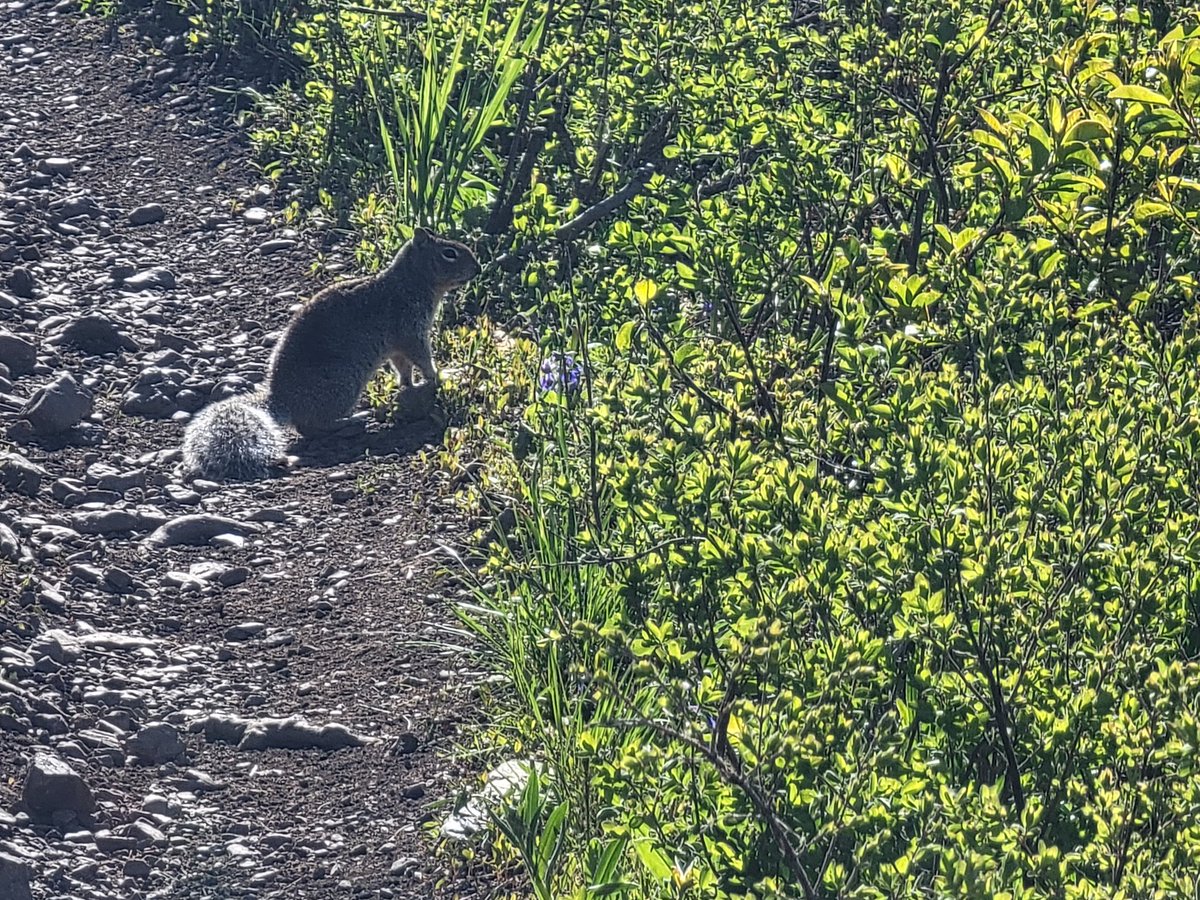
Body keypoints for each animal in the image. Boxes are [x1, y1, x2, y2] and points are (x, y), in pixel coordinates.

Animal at [181, 227, 481, 481]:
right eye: (449, 253)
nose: (478, 268)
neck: (409, 282)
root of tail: (282, 400)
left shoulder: (398, 344)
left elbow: (403, 368)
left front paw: (410, 385)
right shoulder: (410, 330)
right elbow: (421, 358)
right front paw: (437, 376)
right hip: (344, 384)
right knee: (312, 426)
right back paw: (354, 420)